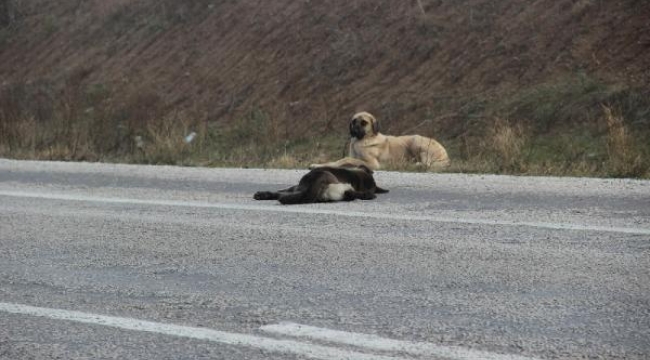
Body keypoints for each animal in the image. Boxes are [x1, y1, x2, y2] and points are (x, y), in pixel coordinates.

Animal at [312, 111, 448, 170]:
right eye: (354, 121)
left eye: (364, 123)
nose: (354, 130)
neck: (363, 140)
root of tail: (445, 156)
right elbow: (337, 162)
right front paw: (317, 165)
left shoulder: (372, 163)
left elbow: (346, 159)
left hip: (416, 140)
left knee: (427, 164)